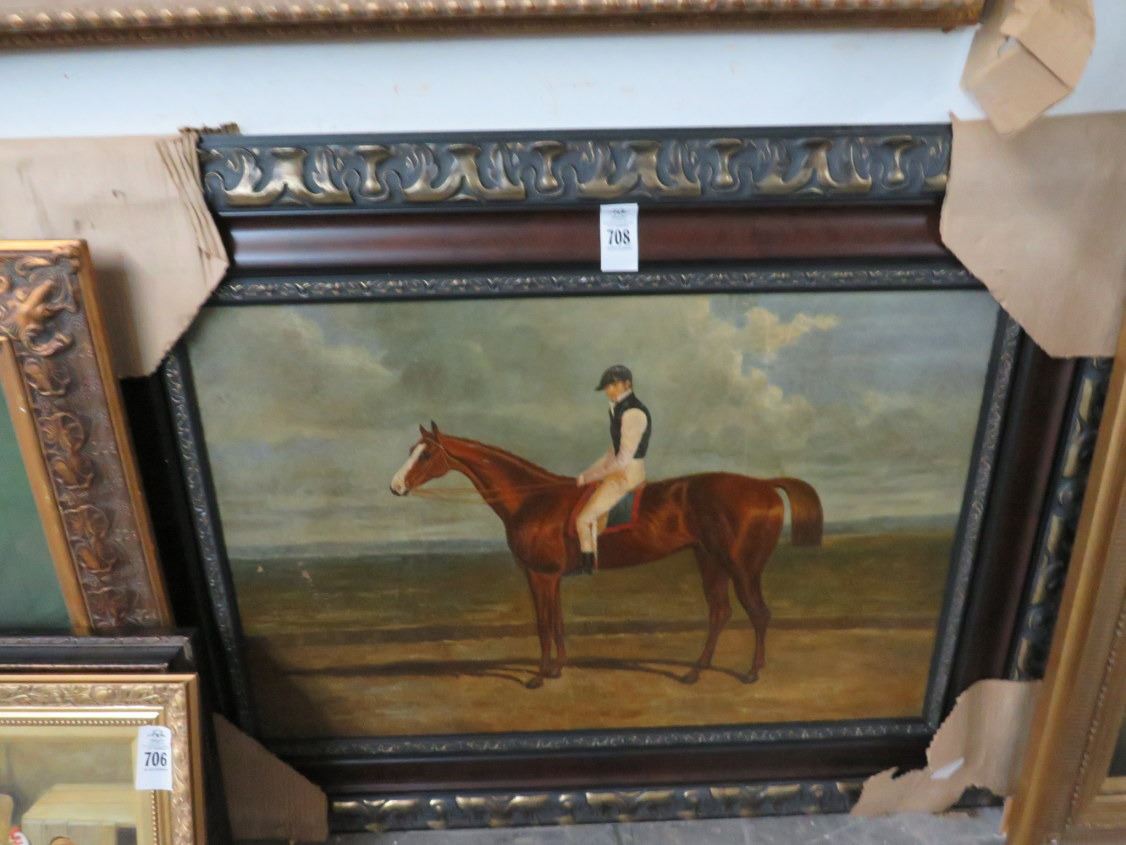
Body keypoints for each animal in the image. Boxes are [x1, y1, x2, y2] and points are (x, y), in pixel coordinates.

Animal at [390, 422, 823, 689]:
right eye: (412, 450)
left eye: (425, 455)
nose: (394, 486)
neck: (533, 498)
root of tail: (764, 485)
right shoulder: (551, 577)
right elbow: (557, 623)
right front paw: (558, 669)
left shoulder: (540, 575)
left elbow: (544, 624)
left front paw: (539, 676)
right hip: (709, 560)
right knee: (720, 612)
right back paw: (694, 672)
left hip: (742, 567)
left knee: (758, 614)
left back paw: (751, 673)